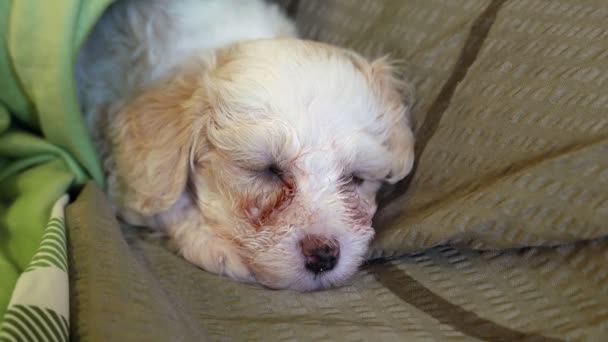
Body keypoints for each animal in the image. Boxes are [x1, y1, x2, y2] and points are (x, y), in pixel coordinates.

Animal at [76, 0, 416, 292]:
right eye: (269, 171)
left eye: (355, 178)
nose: (323, 255)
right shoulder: (123, 170)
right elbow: (167, 201)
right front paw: (215, 247)